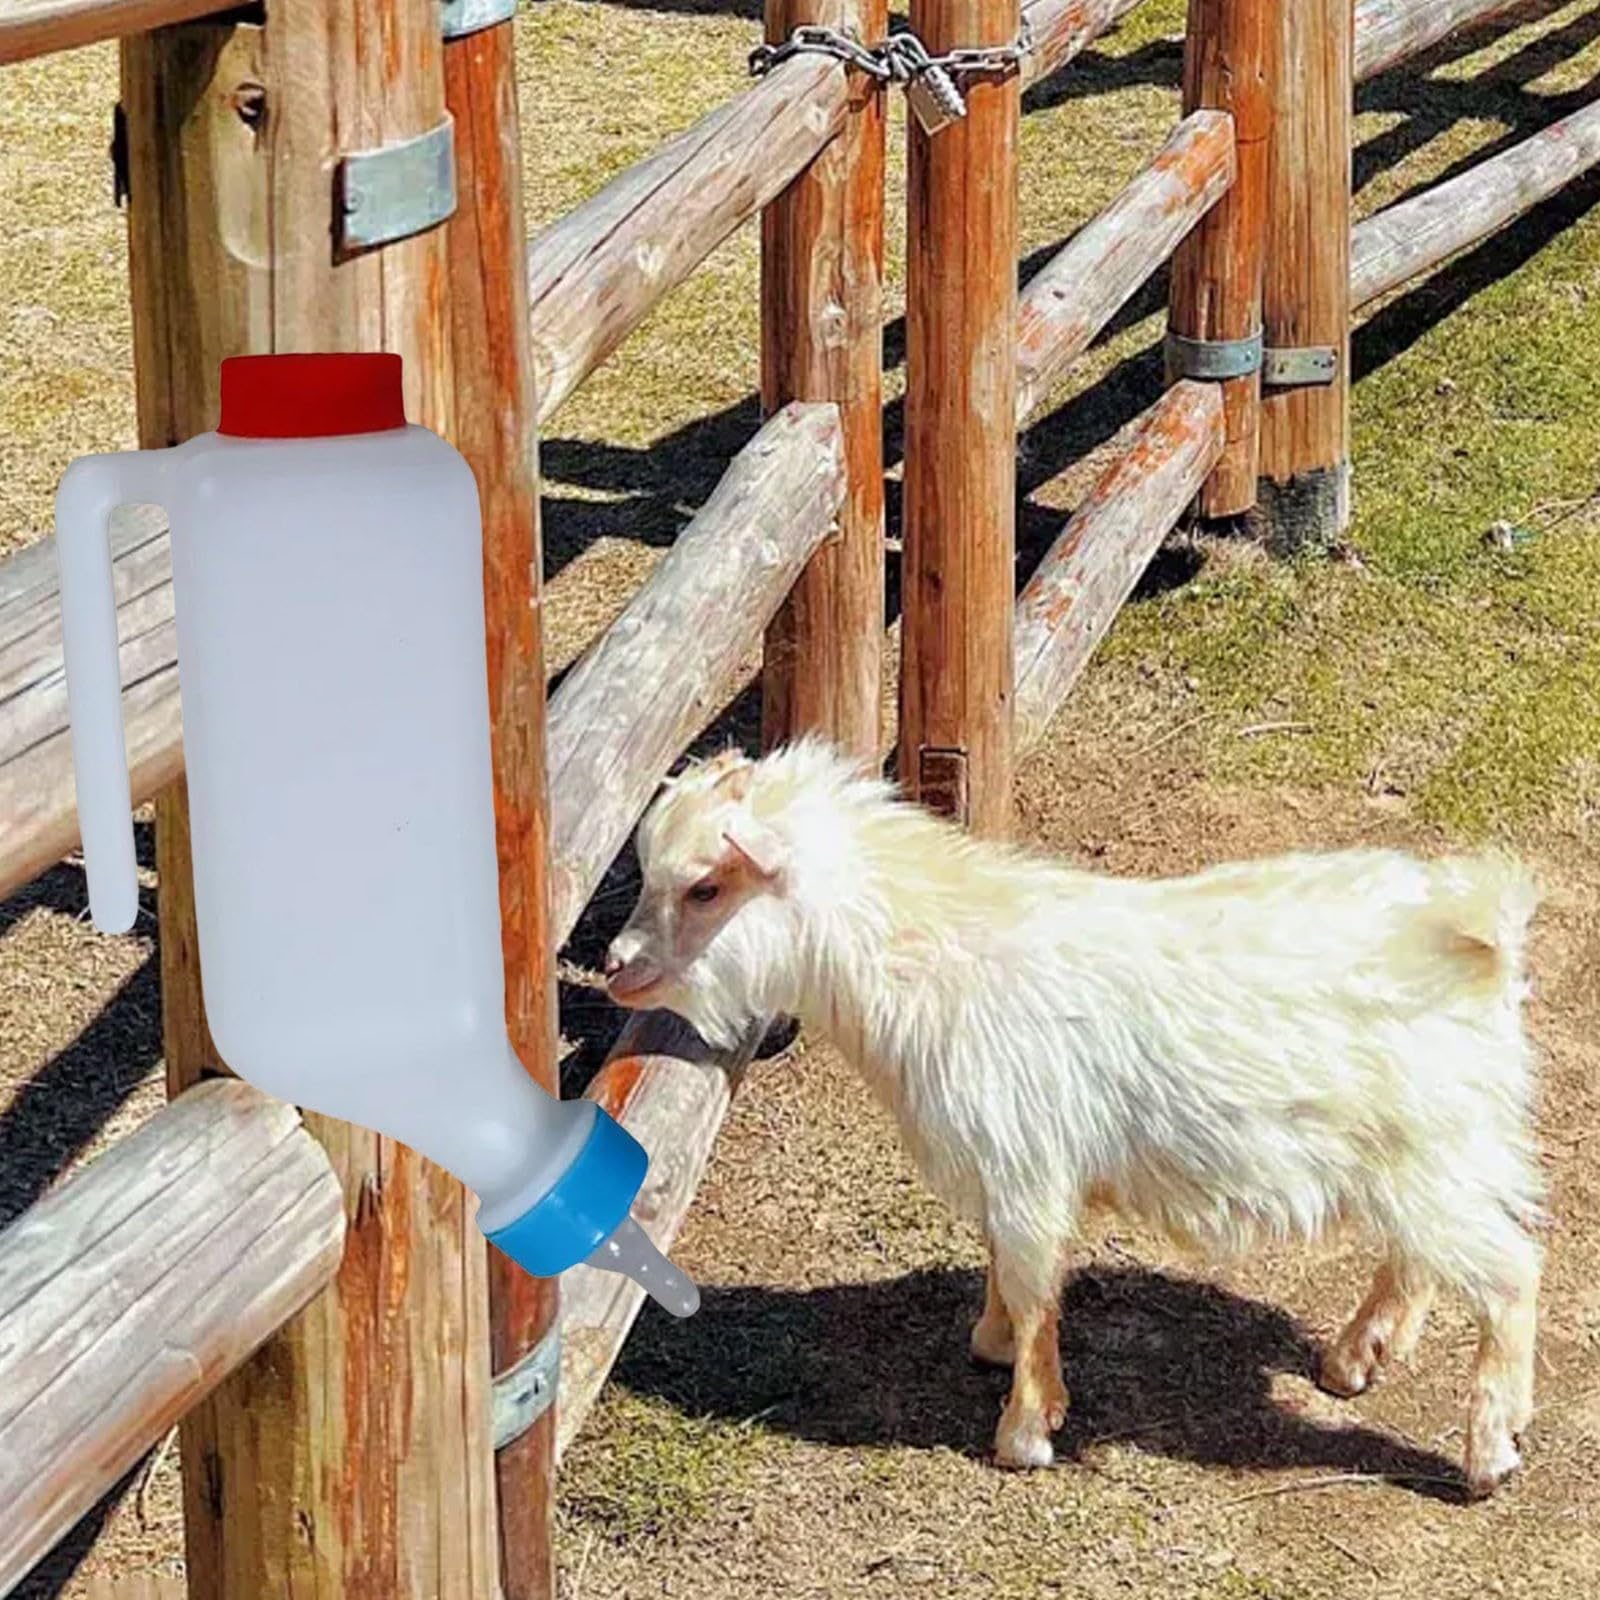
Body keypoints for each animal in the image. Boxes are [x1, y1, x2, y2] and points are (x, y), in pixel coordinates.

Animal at [605, 738, 1544, 1496]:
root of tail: (1478, 935)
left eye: (705, 887)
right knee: (1421, 1261)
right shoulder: (1007, 1169)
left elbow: (1031, 1287)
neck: (930, 961)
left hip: (1440, 1152)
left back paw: (1489, 1451)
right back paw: (1356, 1360)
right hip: (1424, 1157)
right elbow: (1006, 1271)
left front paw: (1024, 1432)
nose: (617, 966)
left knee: (1510, 1274)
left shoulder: (1026, 1167)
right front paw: (990, 1344)